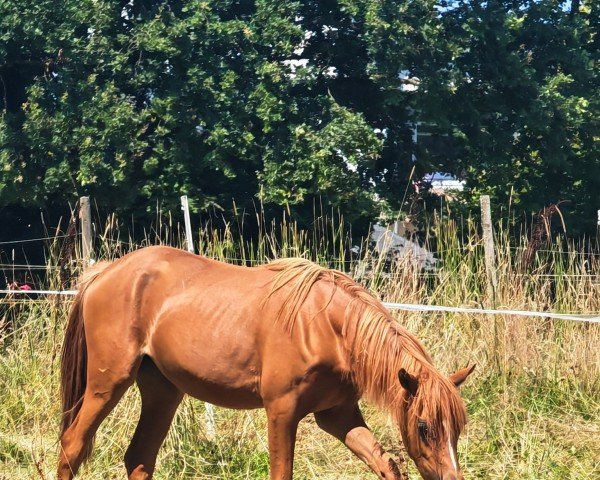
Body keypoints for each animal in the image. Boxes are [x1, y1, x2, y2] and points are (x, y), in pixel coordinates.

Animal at [58, 248, 476, 480]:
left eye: (457, 428)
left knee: (140, 458)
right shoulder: (281, 412)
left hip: (163, 391)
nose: (451, 478)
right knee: (72, 445)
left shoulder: (337, 415)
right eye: (423, 427)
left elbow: (387, 465)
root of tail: (107, 272)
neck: (327, 327)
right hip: (108, 383)